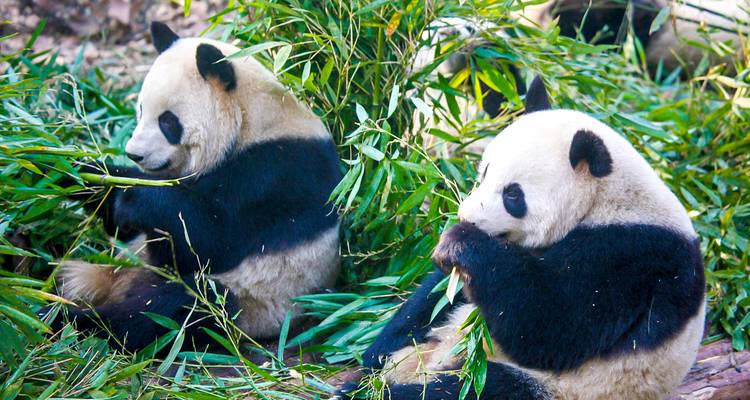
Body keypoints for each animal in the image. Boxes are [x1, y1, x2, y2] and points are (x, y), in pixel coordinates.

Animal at [47, 22, 342, 351]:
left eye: (168, 121)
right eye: (140, 109)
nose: (134, 153)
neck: (252, 120)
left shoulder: (274, 173)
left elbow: (207, 237)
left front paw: (130, 201)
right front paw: (63, 168)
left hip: (251, 300)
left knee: (174, 309)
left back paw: (72, 320)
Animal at [339, 77, 705, 399]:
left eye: (513, 195)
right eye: (485, 172)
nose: (466, 216)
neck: (604, 200)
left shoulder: (628, 256)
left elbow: (549, 324)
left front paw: (460, 243)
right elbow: (437, 297)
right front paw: (376, 349)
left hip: (549, 385)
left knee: (466, 391)